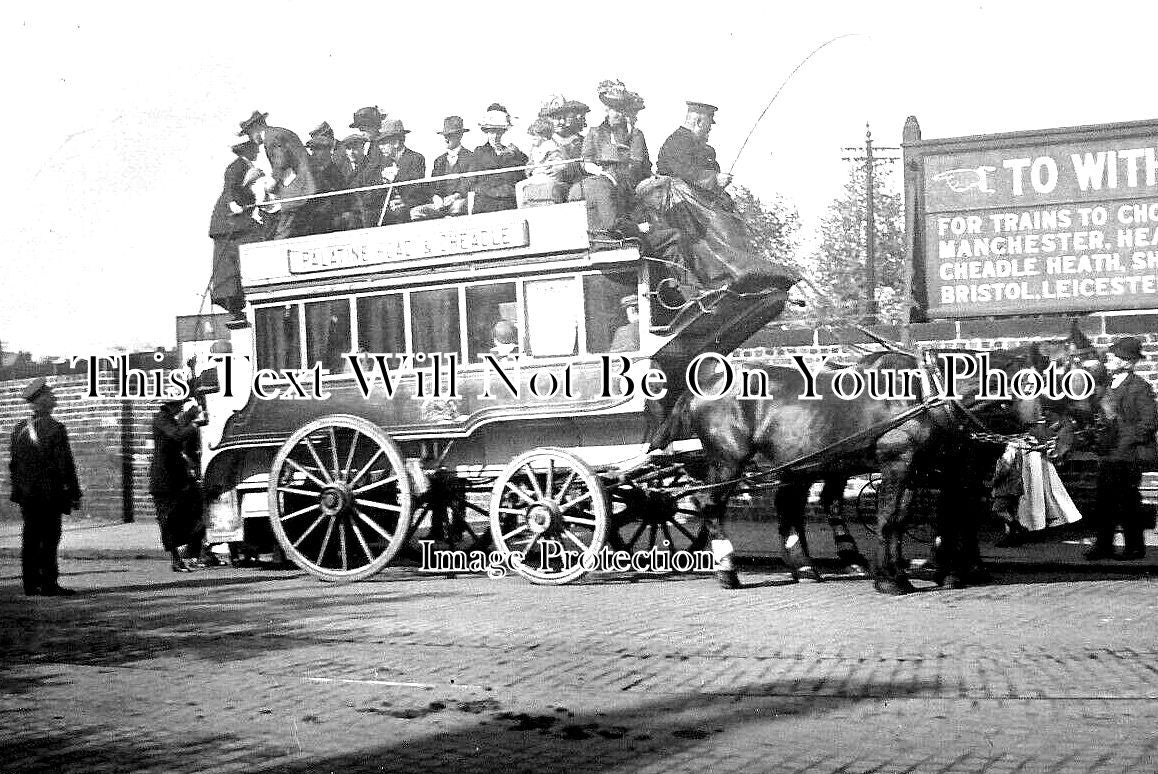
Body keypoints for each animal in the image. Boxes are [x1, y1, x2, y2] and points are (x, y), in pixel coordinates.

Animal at [662, 345, 1074, 593]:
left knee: (788, 507)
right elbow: (890, 517)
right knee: (710, 505)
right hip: (727, 461)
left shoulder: (921, 467)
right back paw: (728, 570)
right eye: (1042, 382)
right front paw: (891, 579)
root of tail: (706, 381)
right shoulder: (899, 462)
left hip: (794, 462)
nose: (1064, 438)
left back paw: (806, 569)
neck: (925, 395)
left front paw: (907, 573)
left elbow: (906, 517)